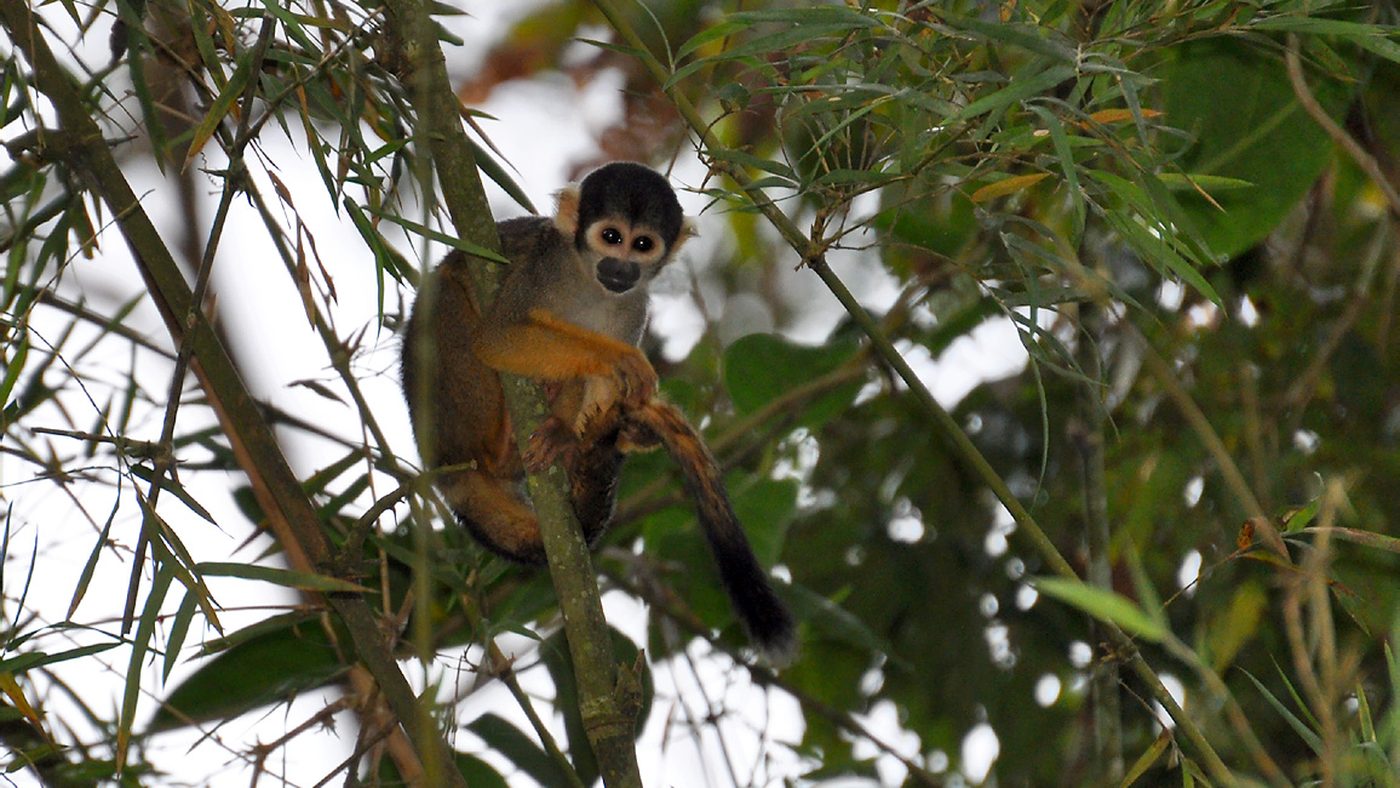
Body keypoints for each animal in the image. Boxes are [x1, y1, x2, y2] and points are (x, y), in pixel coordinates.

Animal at [401, 162, 796, 663]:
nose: (622, 267)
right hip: (444, 406)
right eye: (611, 236)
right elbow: (499, 338)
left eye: (642, 244)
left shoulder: (635, 307)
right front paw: (616, 357)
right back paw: (499, 447)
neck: (590, 283)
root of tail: (441, 465)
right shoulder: (540, 269)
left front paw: (577, 432)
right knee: (450, 304)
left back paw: (558, 433)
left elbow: (603, 382)